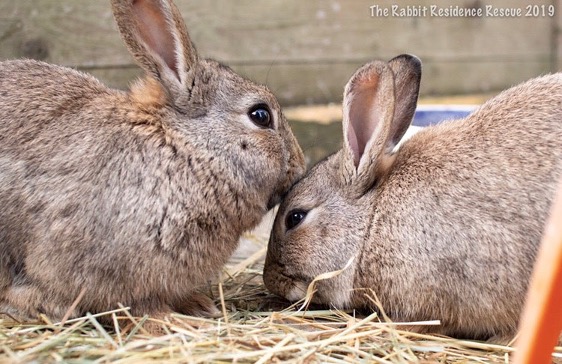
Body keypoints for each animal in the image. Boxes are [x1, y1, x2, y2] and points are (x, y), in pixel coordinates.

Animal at [0, 0, 302, 324]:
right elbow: (138, 307)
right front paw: (168, 321)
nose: (299, 166)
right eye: (261, 115)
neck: (186, 148)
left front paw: (198, 305)